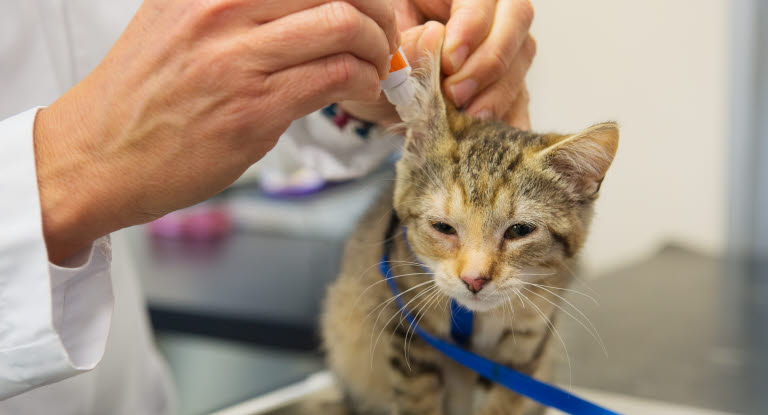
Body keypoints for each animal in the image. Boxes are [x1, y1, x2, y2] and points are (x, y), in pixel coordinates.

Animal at [318, 52, 616, 415]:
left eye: (520, 230)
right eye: (443, 227)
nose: (474, 279)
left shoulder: (525, 345)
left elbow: (504, 403)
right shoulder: (406, 330)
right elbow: (418, 402)